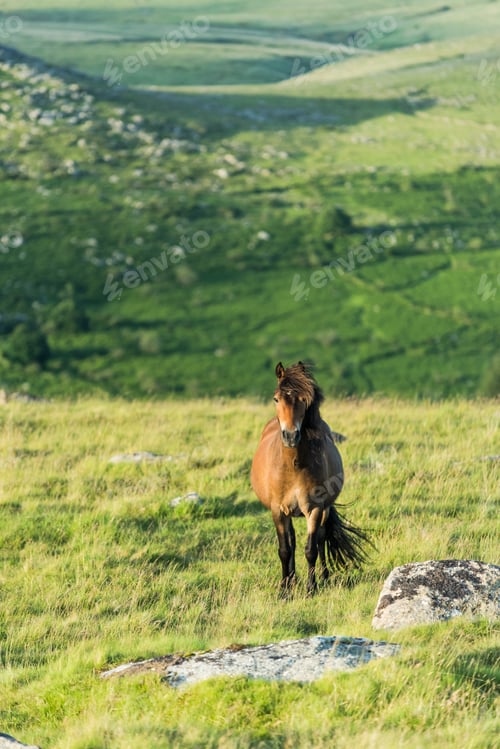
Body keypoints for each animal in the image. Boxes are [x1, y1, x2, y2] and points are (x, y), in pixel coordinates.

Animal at [250, 361, 369, 595]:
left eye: (304, 400)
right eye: (276, 399)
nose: (290, 435)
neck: (293, 466)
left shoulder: (314, 509)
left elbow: (311, 548)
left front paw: (311, 588)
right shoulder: (278, 510)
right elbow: (285, 549)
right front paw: (285, 590)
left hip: (323, 509)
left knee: (321, 538)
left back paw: (323, 576)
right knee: (292, 541)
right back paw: (292, 580)